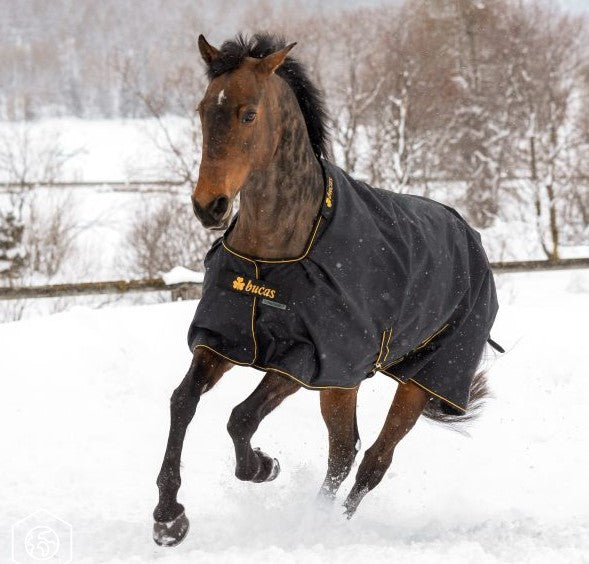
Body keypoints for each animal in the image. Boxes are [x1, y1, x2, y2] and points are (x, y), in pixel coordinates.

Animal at [150, 32, 496, 548]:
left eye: (248, 114)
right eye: (203, 109)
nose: (209, 206)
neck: (274, 255)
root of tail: (469, 235)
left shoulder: (305, 358)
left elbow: (240, 418)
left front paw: (264, 466)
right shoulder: (226, 341)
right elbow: (182, 402)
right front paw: (169, 518)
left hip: (417, 379)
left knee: (373, 459)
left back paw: (324, 528)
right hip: (343, 382)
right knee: (343, 449)